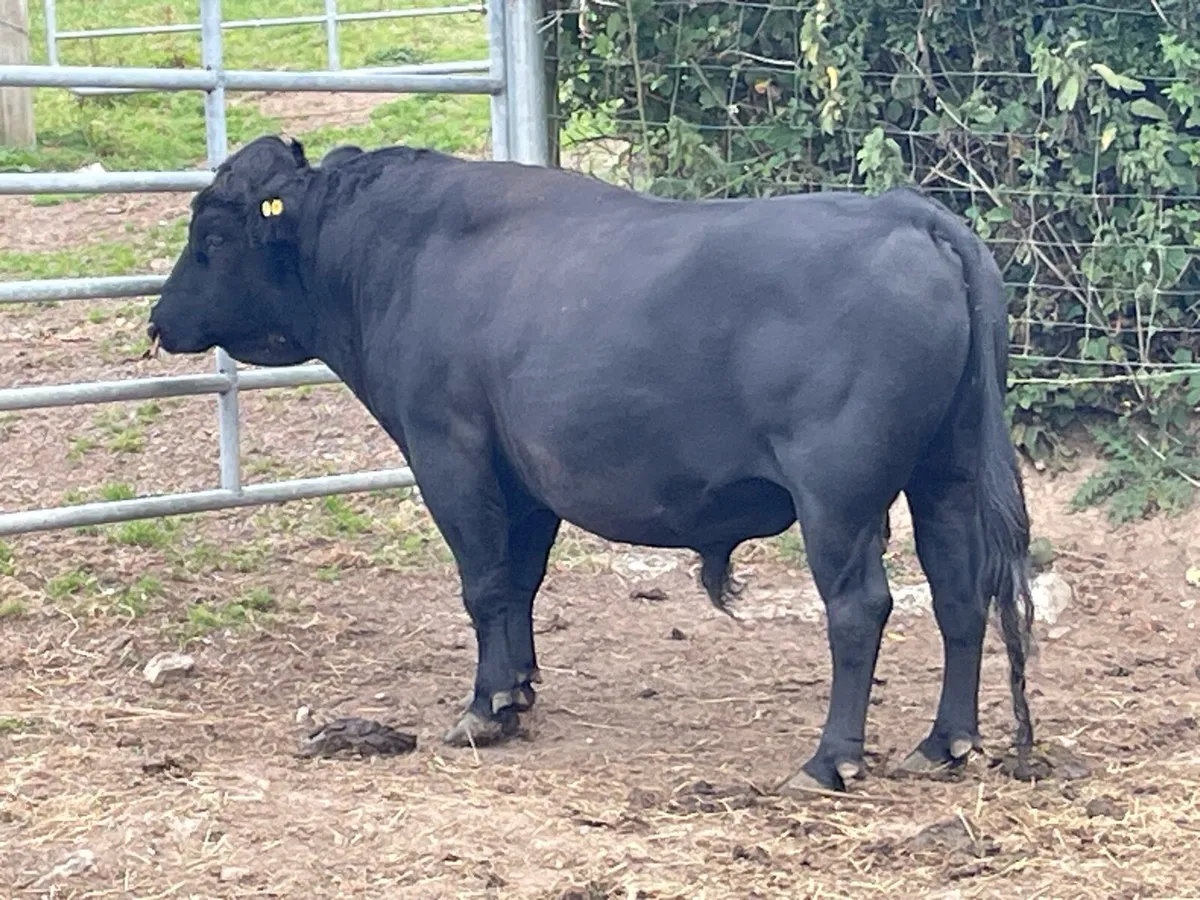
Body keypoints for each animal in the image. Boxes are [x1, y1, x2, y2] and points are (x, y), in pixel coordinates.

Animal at [146, 135, 1035, 793]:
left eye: (212, 235)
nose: (157, 319)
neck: (391, 255)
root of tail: (909, 214)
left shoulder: (450, 451)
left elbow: (484, 582)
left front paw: (484, 707)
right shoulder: (525, 476)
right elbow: (519, 582)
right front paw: (518, 690)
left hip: (839, 493)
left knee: (860, 608)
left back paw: (829, 760)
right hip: (945, 472)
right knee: (959, 592)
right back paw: (946, 742)